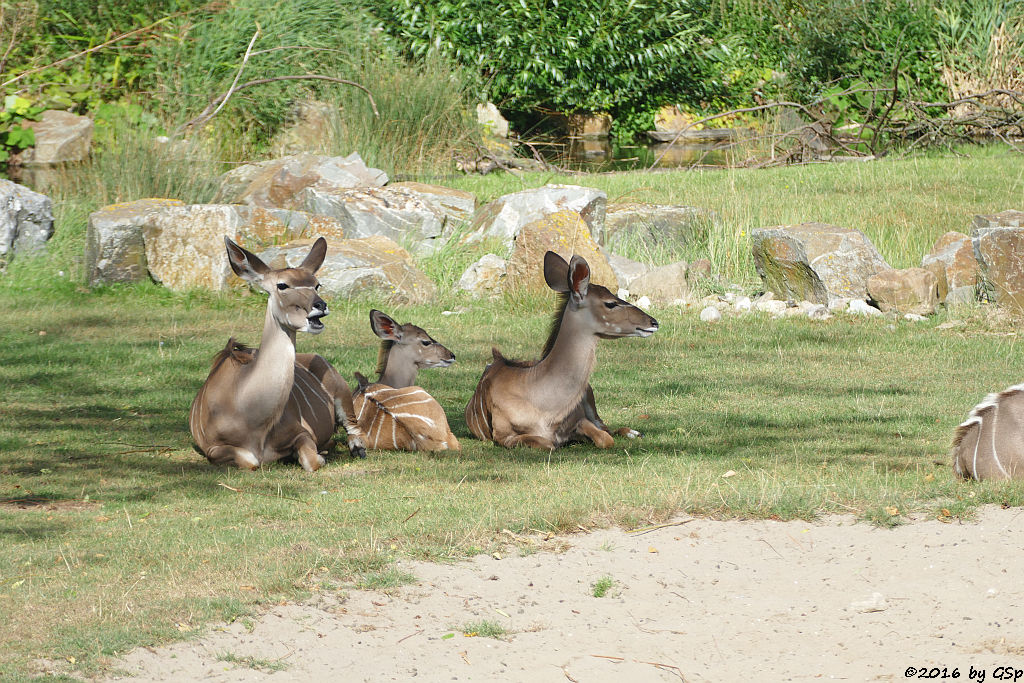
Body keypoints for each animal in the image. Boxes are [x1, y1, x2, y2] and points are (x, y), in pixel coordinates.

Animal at [190, 239, 366, 471]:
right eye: (282, 285)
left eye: (316, 284)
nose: (320, 306)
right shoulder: (212, 449)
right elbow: (251, 461)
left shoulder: (302, 433)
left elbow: (311, 460)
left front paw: (317, 455)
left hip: (341, 390)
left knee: (353, 427)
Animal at [464, 250, 655, 448]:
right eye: (610, 303)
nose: (653, 322)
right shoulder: (503, 436)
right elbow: (548, 444)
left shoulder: (580, 421)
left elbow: (605, 439)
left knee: (608, 428)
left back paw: (635, 433)